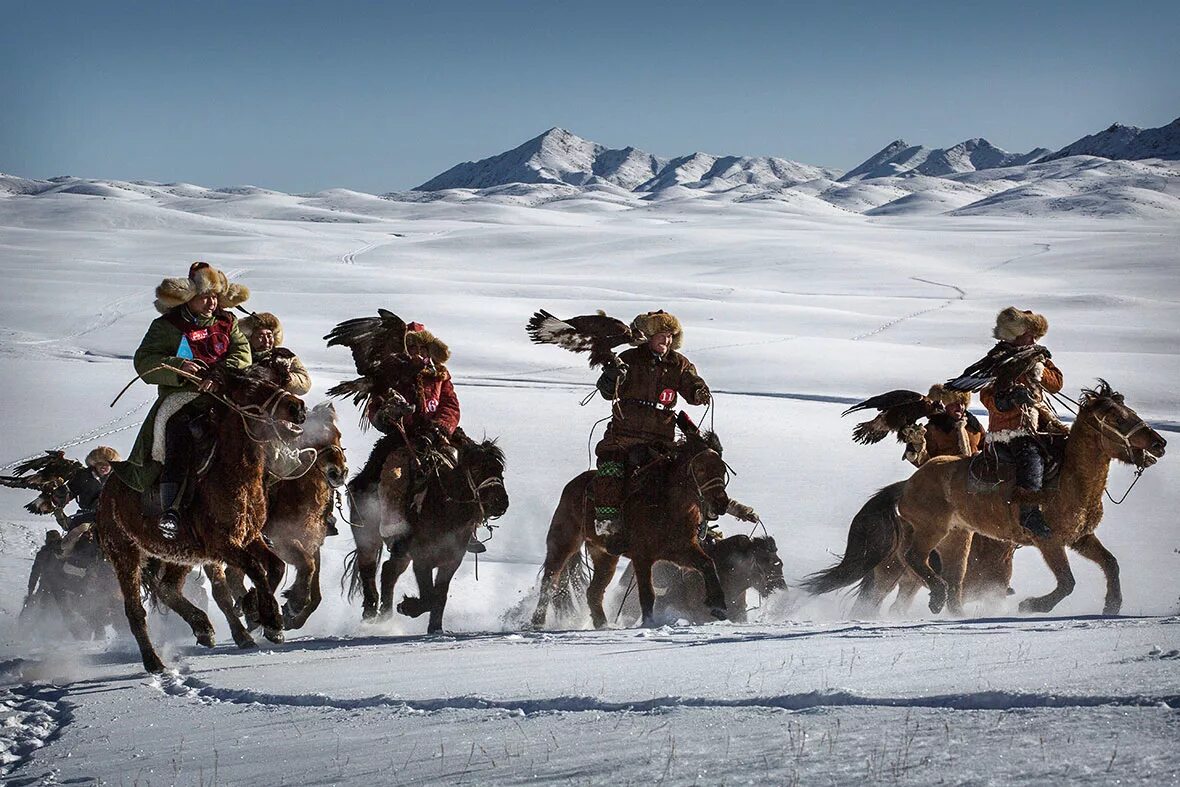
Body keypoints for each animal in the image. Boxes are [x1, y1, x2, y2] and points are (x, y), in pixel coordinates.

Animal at [96, 365, 306, 674]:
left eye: (272, 380)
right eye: (250, 389)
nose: (297, 408)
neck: (233, 475)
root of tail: (106, 492)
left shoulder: (249, 537)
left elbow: (275, 566)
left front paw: (258, 612)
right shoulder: (222, 544)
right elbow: (256, 568)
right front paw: (270, 620)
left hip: (179, 554)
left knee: (167, 588)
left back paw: (204, 628)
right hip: (125, 553)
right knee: (135, 610)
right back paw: (154, 662)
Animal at [218, 401, 346, 632]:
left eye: (337, 434)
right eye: (313, 437)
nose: (338, 473)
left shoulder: (313, 543)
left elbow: (315, 591)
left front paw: (292, 613)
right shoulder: (282, 541)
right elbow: (307, 566)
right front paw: (294, 603)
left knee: (233, 575)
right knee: (235, 575)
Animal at [342, 427, 507, 637]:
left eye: (499, 469)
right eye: (477, 469)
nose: (501, 503)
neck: (446, 510)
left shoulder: (451, 561)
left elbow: (440, 595)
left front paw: (435, 628)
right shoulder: (422, 560)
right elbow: (429, 596)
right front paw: (407, 607)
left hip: (401, 552)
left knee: (389, 570)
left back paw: (385, 615)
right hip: (367, 536)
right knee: (368, 568)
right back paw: (370, 614)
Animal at [533, 427, 741, 632]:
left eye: (722, 469)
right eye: (700, 469)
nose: (721, 503)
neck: (668, 507)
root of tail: (572, 486)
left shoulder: (680, 550)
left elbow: (707, 564)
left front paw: (718, 605)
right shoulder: (642, 556)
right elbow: (647, 594)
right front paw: (649, 623)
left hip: (605, 556)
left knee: (593, 592)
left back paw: (603, 625)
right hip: (563, 543)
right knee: (549, 581)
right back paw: (537, 621)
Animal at [802, 377, 1161, 618]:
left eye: (1130, 411)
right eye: (1118, 418)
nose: (1160, 444)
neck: (1068, 479)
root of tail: (905, 485)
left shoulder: (1079, 538)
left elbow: (1110, 563)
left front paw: (1112, 605)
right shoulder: (1049, 541)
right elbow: (1067, 582)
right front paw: (1032, 605)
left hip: (957, 538)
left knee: (949, 581)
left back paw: (950, 609)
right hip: (927, 536)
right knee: (914, 562)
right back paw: (936, 598)